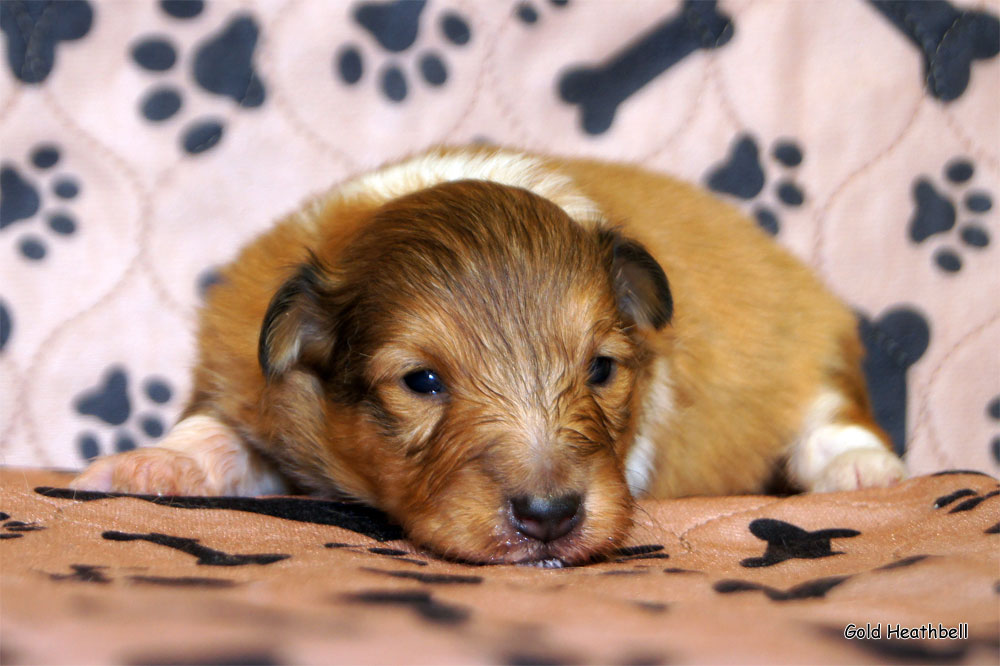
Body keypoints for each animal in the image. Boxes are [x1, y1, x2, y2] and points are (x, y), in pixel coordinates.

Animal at [72, 144, 908, 560]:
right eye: (421, 380)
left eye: (601, 369)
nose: (549, 517)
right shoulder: (250, 377)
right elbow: (211, 431)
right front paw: (146, 465)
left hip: (809, 339)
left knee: (831, 412)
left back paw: (860, 468)